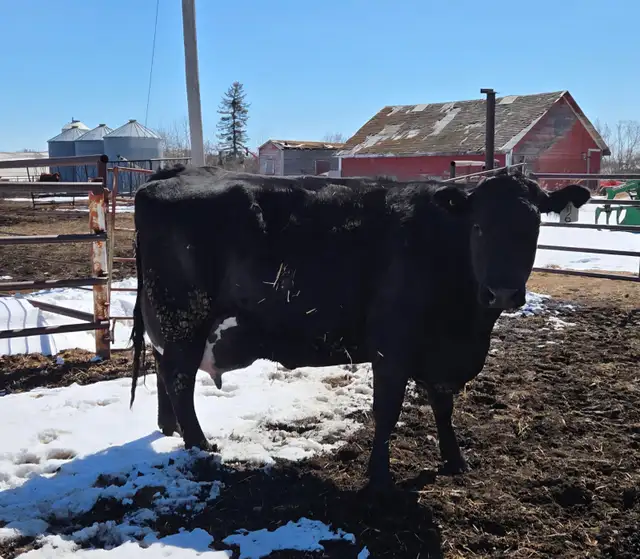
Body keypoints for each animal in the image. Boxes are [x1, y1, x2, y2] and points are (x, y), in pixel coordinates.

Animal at [129, 165, 590, 492]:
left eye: (533, 227)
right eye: (478, 226)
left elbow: (443, 407)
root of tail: (172, 175)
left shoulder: (440, 356)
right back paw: (200, 447)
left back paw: (170, 429)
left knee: (163, 369)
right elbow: (387, 411)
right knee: (179, 379)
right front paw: (380, 477)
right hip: (183, 318)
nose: (503, 292)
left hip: (170, 324)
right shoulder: (393, 346)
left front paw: (455, 461)